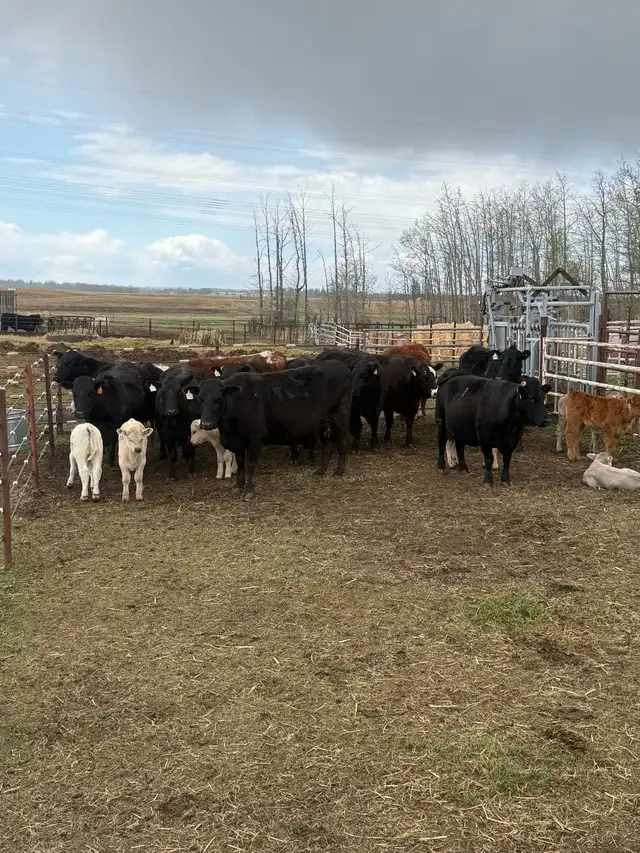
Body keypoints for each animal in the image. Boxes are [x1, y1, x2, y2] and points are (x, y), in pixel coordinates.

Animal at [197, 360, 352, 500]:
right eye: (200, 399)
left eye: (219, 399)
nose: (206, 424)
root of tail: (339, 365)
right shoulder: (238, 441)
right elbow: (240, 464)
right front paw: (237, 487)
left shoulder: (255, 437)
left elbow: (249, 464)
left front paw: (249, 490)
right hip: (325, 422)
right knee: (328, 444)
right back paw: (321, 470)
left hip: (341, 418)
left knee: (343, 442)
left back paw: (339, 471)